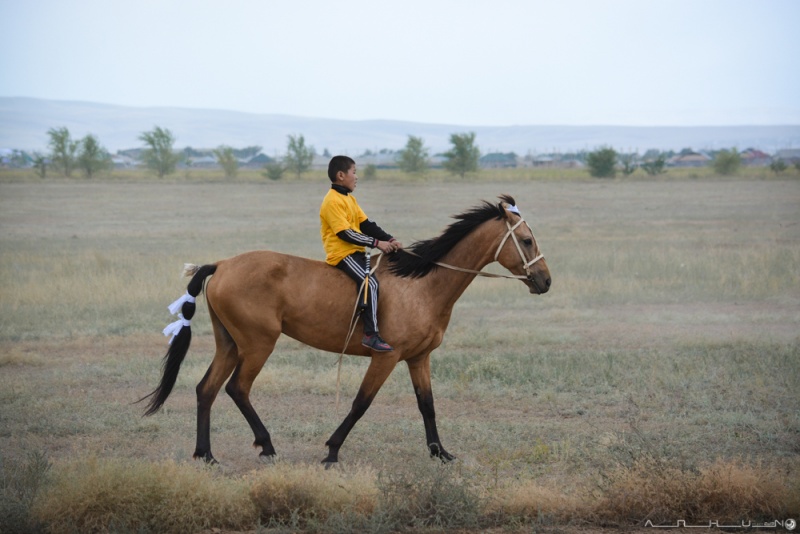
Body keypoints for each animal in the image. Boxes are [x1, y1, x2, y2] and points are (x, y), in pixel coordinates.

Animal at [141, 195, 552, 466]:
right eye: (527, 240)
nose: (545, 281)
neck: (422, 285)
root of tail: (223, 264)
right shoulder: (386, 358)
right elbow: (361, 403)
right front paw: (333, 450)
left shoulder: (418, 358)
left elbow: (427, 405)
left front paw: (441, 453)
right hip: (258, 344)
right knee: (236, 389)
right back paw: (266, 445)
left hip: (229, 343)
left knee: (206, 389)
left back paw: (206, 454)